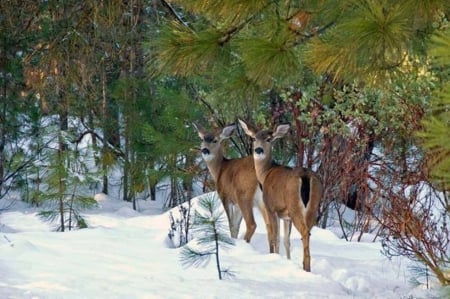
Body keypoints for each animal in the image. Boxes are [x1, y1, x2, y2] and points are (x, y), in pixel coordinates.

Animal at [239, 119, 324, 272]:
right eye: (254, 138)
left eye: (269, 139)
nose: (258, 150)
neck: (265, 174)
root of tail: (305, 176)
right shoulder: (285, 216)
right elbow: (286, 240)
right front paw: (288, 260)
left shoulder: (271, 208)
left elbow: (275, 237)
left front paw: (275, 257)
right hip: (313, 206)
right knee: (308, 232)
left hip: (294, 205)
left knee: (304, 232)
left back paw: (306, 267)